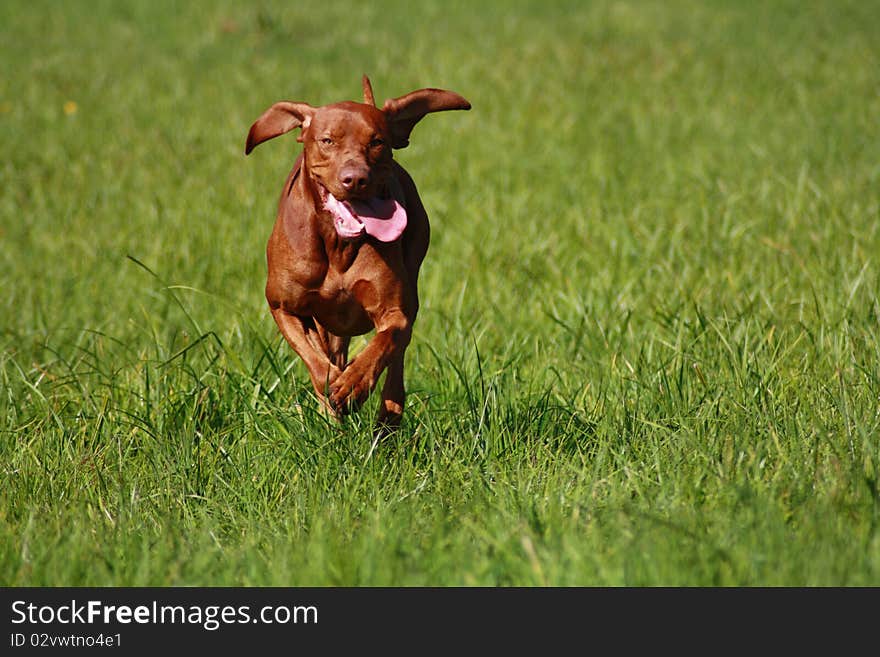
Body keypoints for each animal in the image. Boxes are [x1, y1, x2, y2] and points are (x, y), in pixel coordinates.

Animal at [244, 77, 470, 434]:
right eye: (327, 140)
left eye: (377, 142)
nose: (355, 179)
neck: (338, 245)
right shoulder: (284, 307)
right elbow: (317, 364)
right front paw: (334, 392)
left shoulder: (395, 312)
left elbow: (383, 344)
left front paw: (354, 383)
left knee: (396, 363)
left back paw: (387, 418)